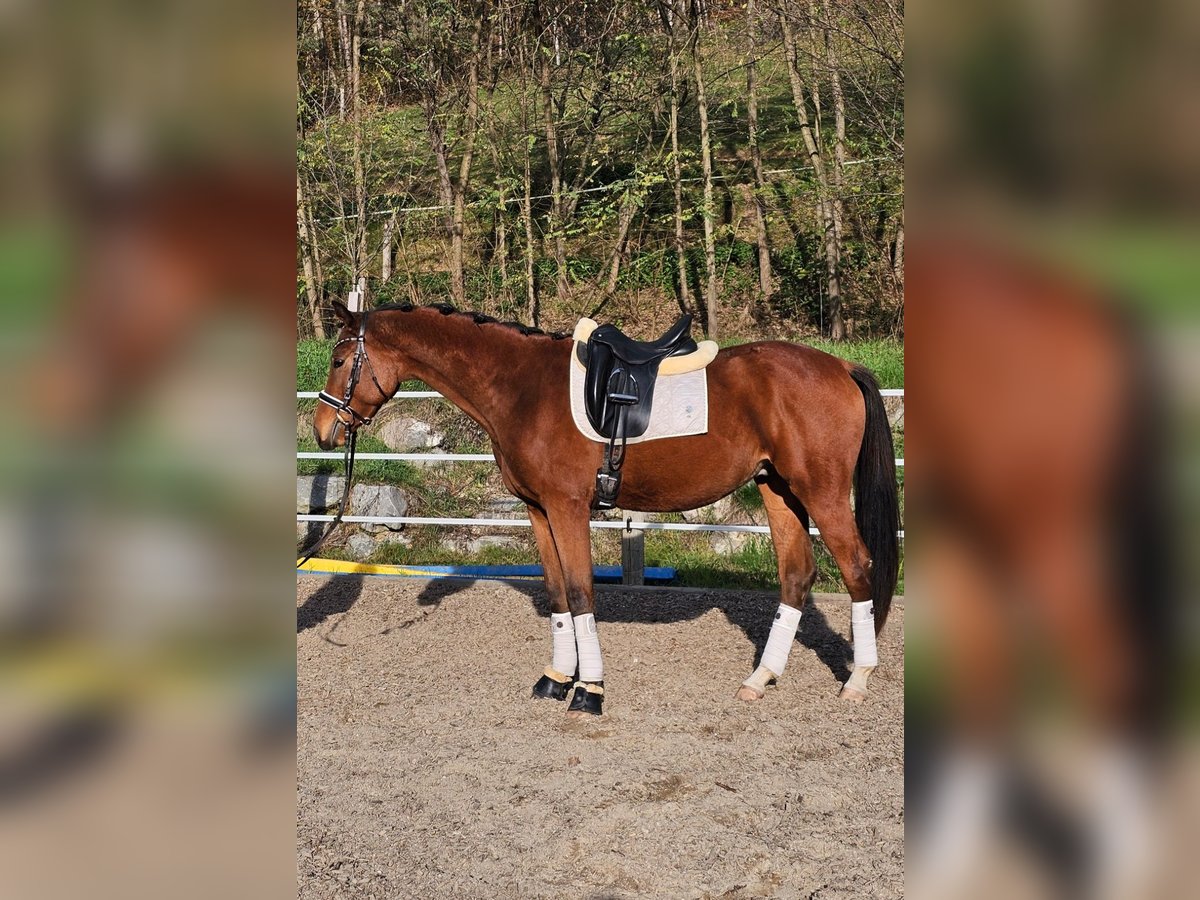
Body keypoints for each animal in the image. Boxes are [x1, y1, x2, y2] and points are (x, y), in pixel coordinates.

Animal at [314, 303, 897, 720]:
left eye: (340, 361)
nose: (322, 431)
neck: (521, 387)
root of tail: (840, 365)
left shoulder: (568, 507)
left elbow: (580, 592)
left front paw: (589, 690)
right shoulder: (538, 510)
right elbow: (556, 593)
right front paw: (556, 679)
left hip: (821, 493)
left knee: (857, 568)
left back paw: (858, 680)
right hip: (778, 490)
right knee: (797, 575)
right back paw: (760, 679)